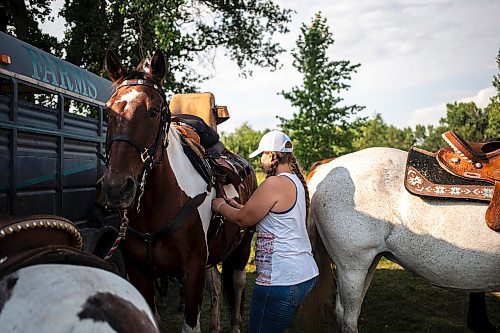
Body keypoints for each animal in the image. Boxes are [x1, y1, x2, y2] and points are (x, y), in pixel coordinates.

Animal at [101, 49, 258, 332]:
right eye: (108, 113)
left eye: (153, 111)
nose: (116, 187)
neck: (157, 206)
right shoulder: (140, 273)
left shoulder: (192, 272)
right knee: (216, 285)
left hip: (243, 245)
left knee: (237, 284)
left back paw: (235, 325)